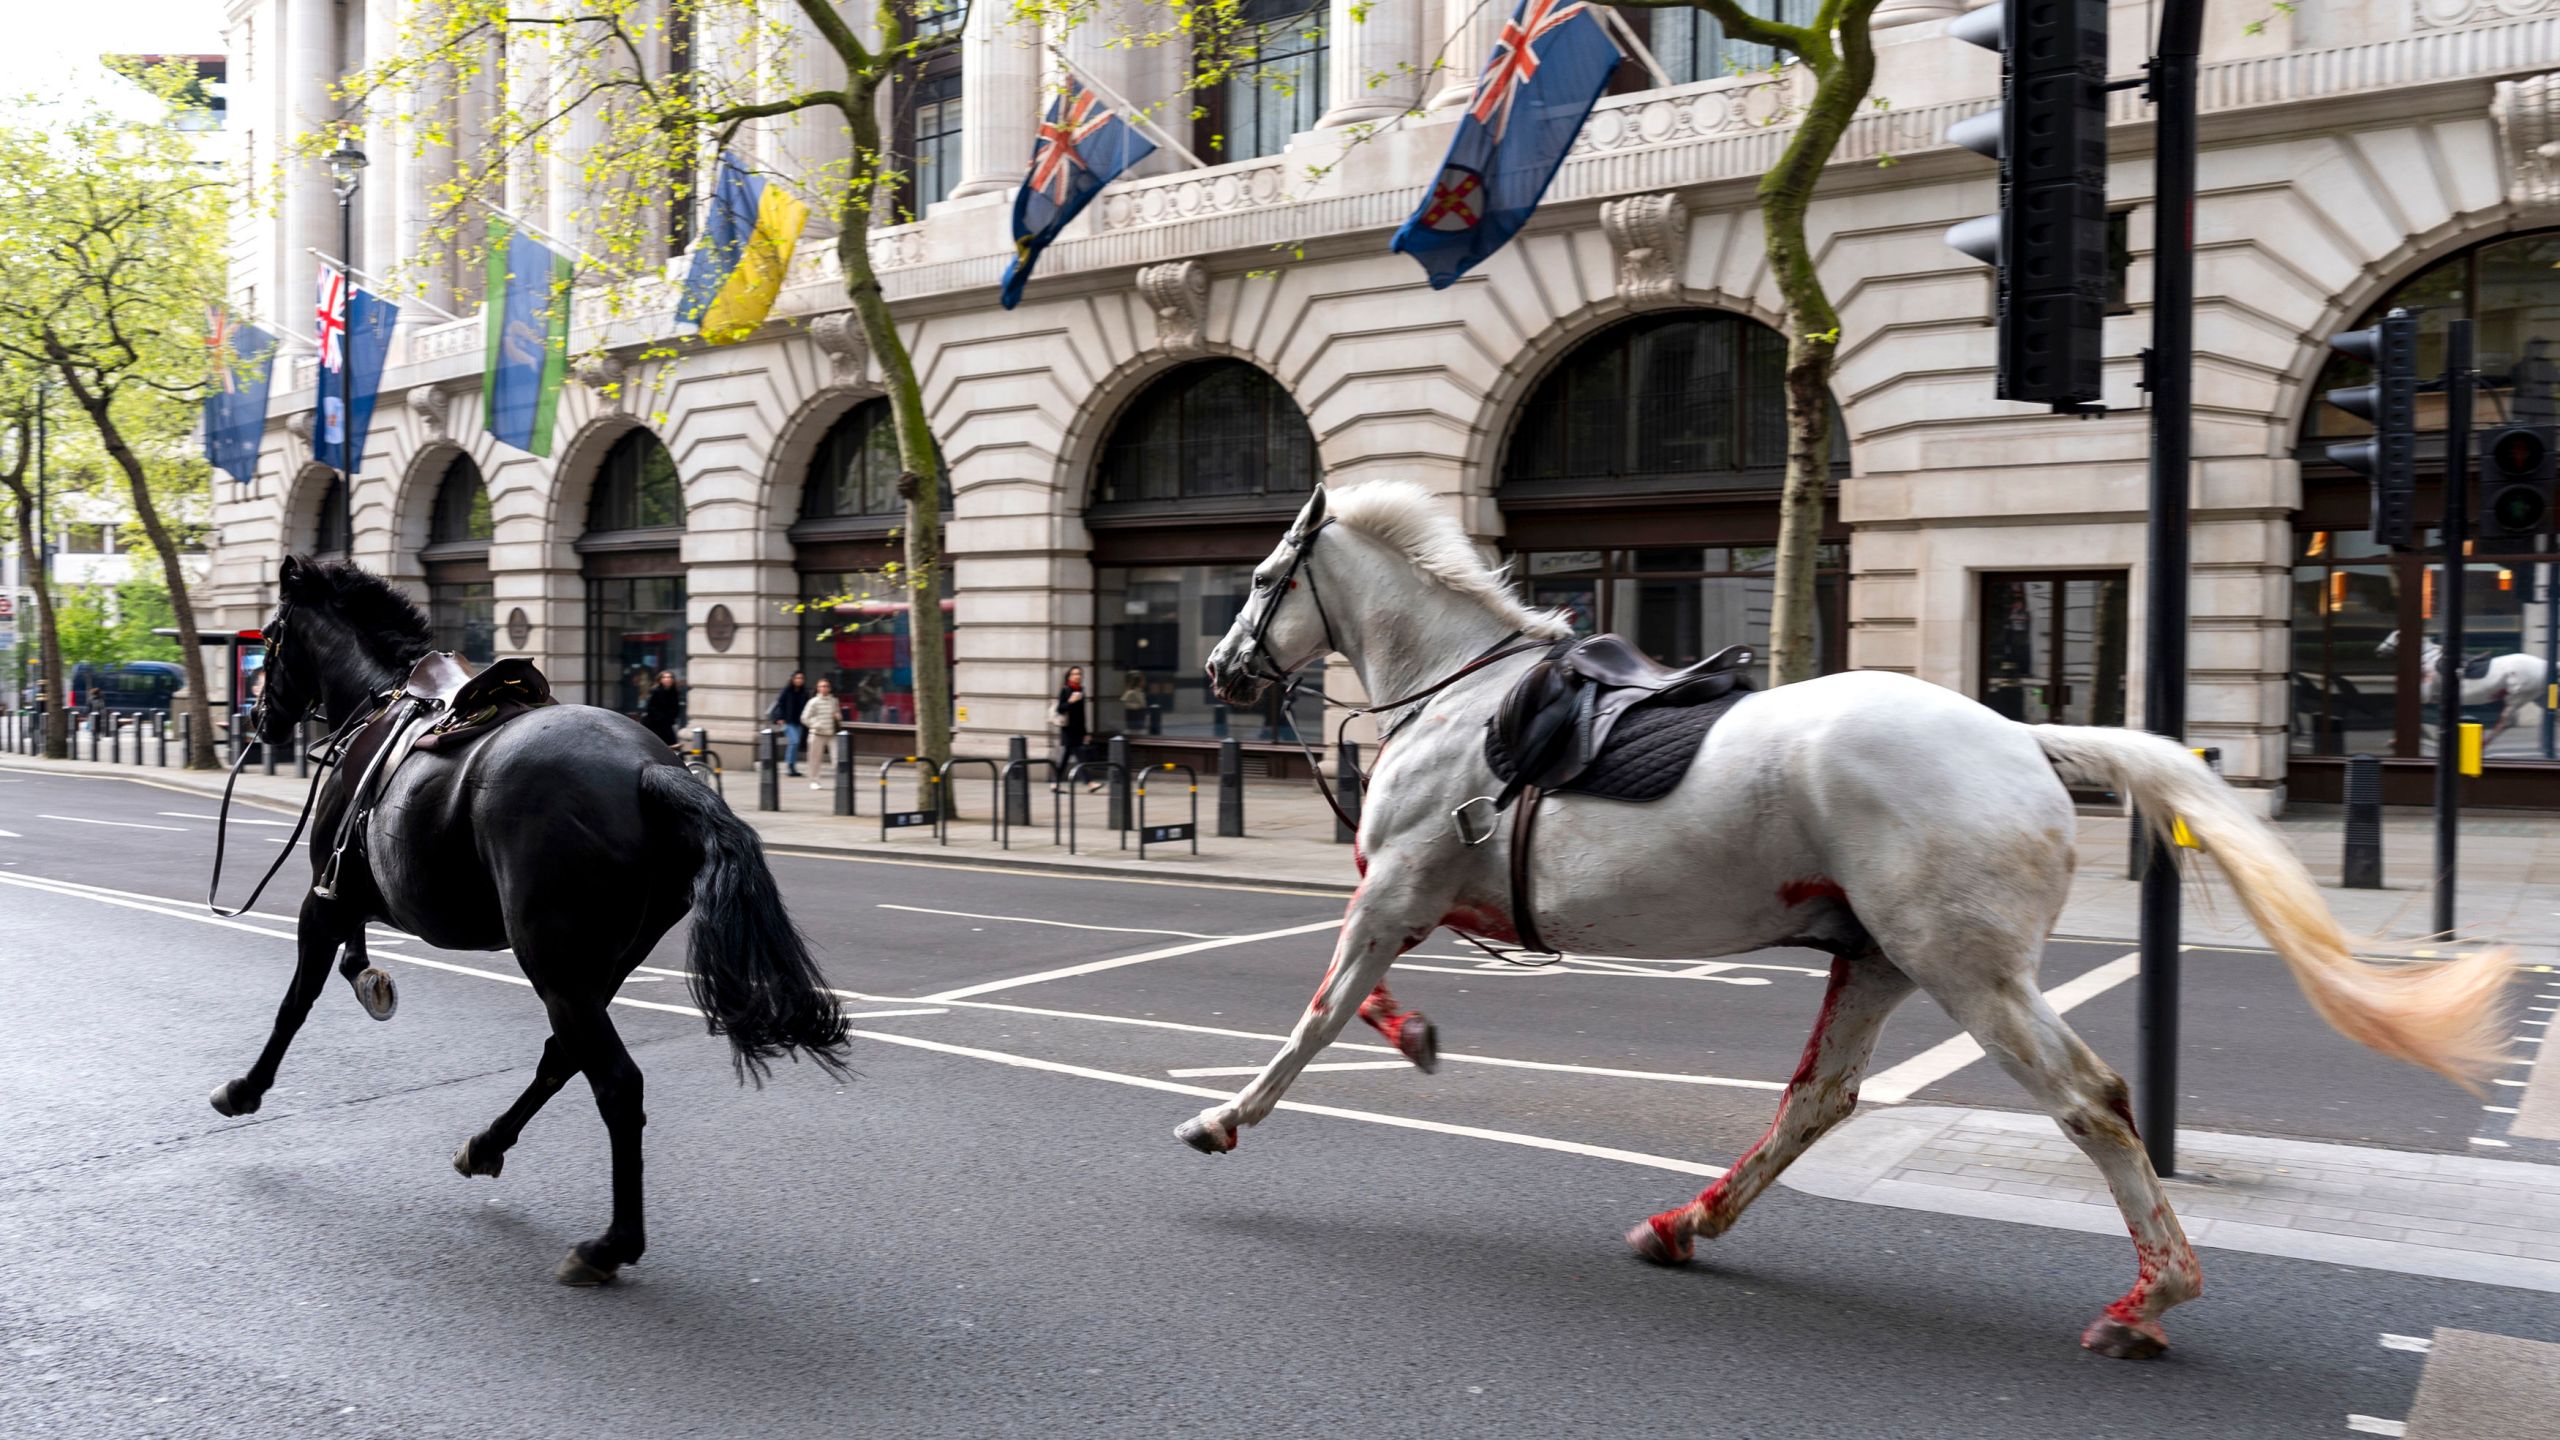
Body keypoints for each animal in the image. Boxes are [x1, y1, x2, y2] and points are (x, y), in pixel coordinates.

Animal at [210, 556, 851, 1285]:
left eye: (271, 637)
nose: (255, 715)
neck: (379, 701)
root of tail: (651, 769)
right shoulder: (353, 895)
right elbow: (350, 961)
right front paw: (369, 981)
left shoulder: (327, 897)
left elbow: (295, 1002)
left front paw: (246, 1088)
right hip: (598, 966)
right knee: (561, 1059)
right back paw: (487, 1145)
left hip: (556, 964)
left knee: (616, 1084)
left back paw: (609, 1244)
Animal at [1188, 482, 2514, 1358]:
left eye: (1257, 580)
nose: (1219, 671)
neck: (1462, 698)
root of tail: (2027, 740)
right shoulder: (1411, 897)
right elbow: (1361, 1000)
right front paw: (1411, 1037)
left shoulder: (1393, 888)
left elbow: (1318, 1014)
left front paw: (1223, 1118)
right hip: (1882, 960)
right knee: (1822, 1100)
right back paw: (1687, 1222)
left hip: (1966, 969)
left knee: (2086, 1103)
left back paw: (2150, 1299)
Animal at [2377, 628, 2549, 744]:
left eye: (2396, 636)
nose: (2378, 650)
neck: (2428, 659)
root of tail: (2545, 664)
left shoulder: (2426, 694)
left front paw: (2395, 739)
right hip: (2537, 698)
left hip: (2516, 698)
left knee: (2502, 724)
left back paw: (2483, 744)